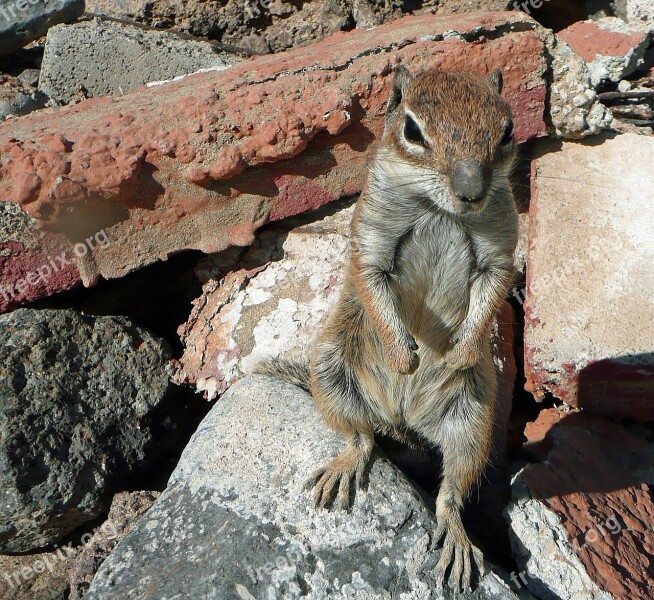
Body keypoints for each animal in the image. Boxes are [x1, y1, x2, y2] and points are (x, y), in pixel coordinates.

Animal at [256, 65, 516, 592]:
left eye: (507, 131)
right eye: (412, 131)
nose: (471, 192)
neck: (440, 211)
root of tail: (403, 421)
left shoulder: (501, 250)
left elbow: (493, 291)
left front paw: (458, 353)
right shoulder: (371, 240)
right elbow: (373, 285)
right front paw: (404, 356)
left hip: (473, 421)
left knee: (451, 493)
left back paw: (457, 541)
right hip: (332, 368)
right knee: (360, 437)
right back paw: (343, 467)